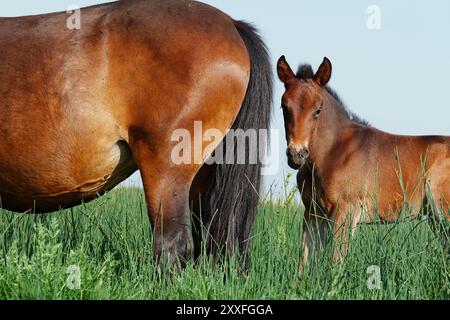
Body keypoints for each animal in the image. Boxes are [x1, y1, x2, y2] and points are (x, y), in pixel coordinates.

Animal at [276, 56, 448, 268]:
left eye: (318, 109)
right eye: (284, 106)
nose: (296, 154)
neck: (334, 152)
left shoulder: (344, 213)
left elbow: (335, 263)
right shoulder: (313, 213)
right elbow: (304, 263)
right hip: (436, 218)